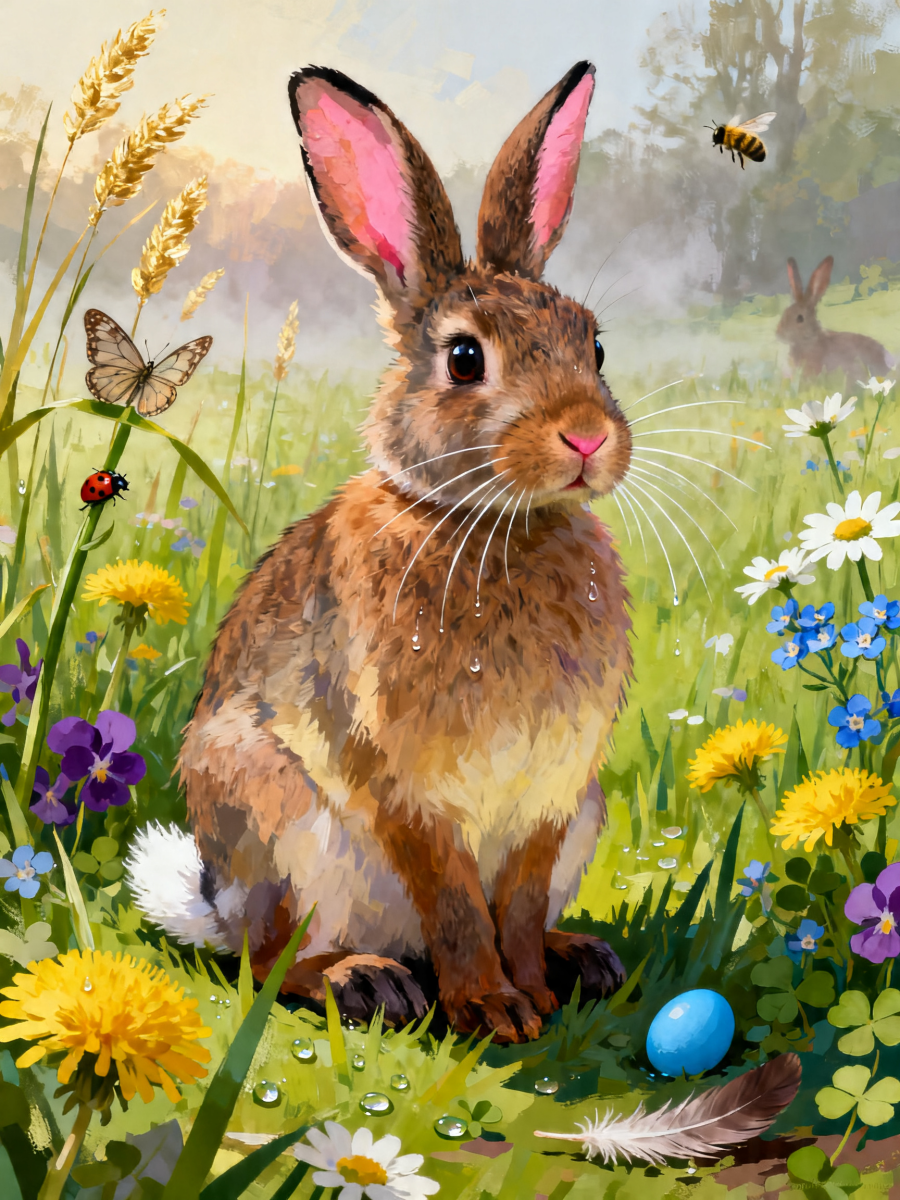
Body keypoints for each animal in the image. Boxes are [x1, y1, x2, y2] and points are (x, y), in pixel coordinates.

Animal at [127, 61, 633, 1044]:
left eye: (596, 344)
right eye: (466, 359)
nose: (588, 437)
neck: (491, 522)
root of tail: (213, 901)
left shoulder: (554, 796)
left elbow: (516, 908)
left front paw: (534, 997)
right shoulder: (405, 788)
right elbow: (457, 905)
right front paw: (493, 1011)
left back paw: (579, 958)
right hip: (280, 821)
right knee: (266, 962)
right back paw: (364, 980)